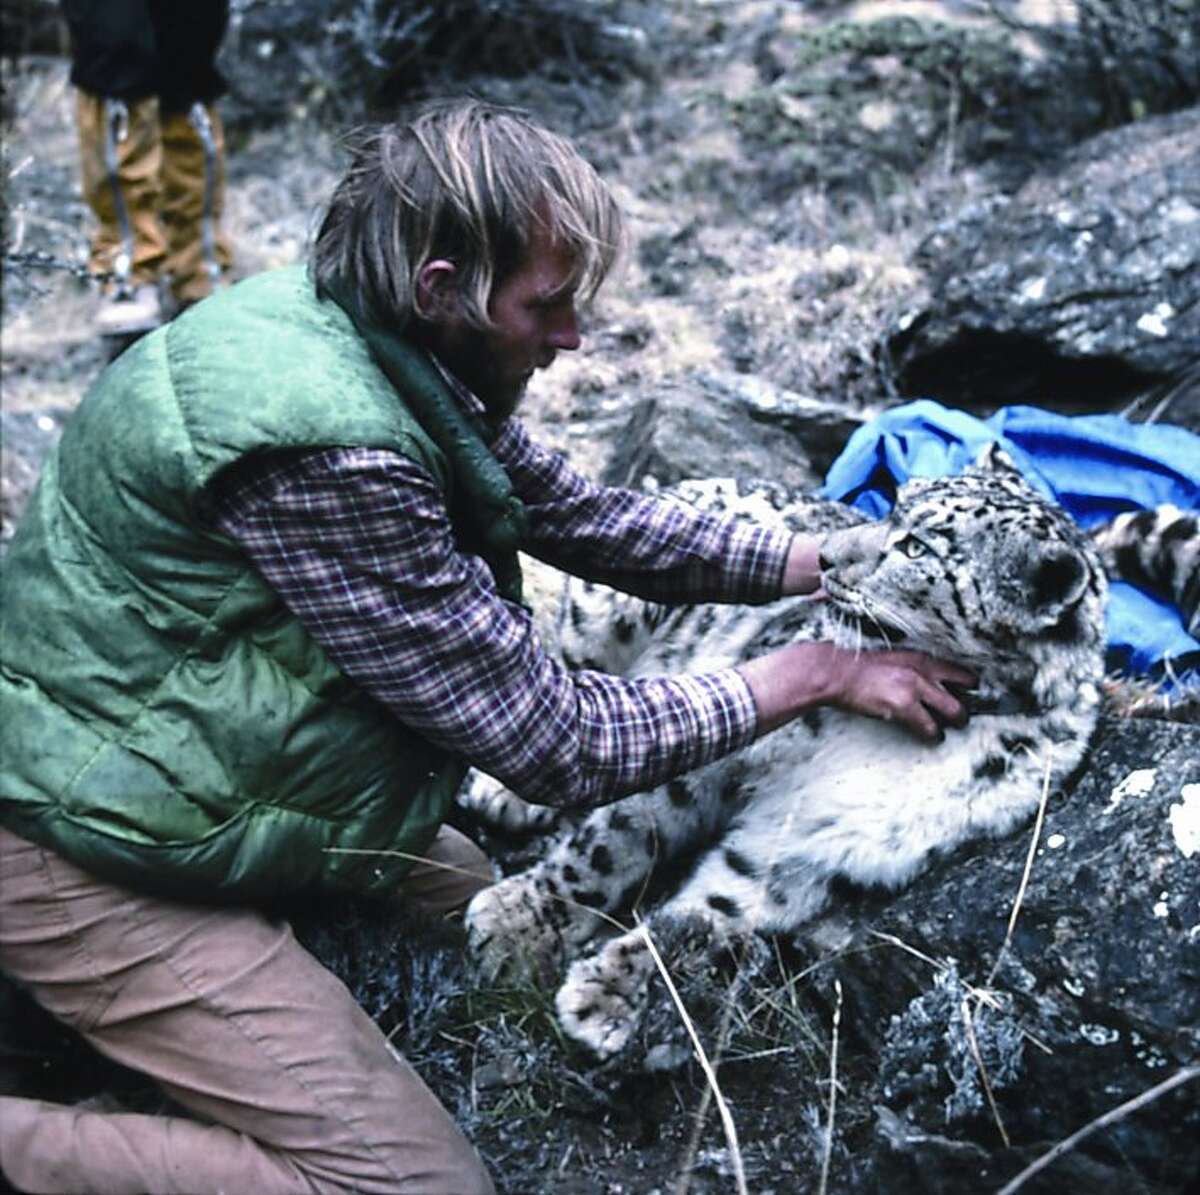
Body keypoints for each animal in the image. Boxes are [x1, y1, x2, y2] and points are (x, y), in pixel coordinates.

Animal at [461, 446, 1194, 1061]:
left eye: (918, 545)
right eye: (897, 504)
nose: (827, 559)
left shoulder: (807, 848)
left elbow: (705, 913)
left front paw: (611, 996)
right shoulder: (709, 761)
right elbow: (610, 844)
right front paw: (516, 923)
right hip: (609, 609)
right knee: (562, 685)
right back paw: (506, 791)